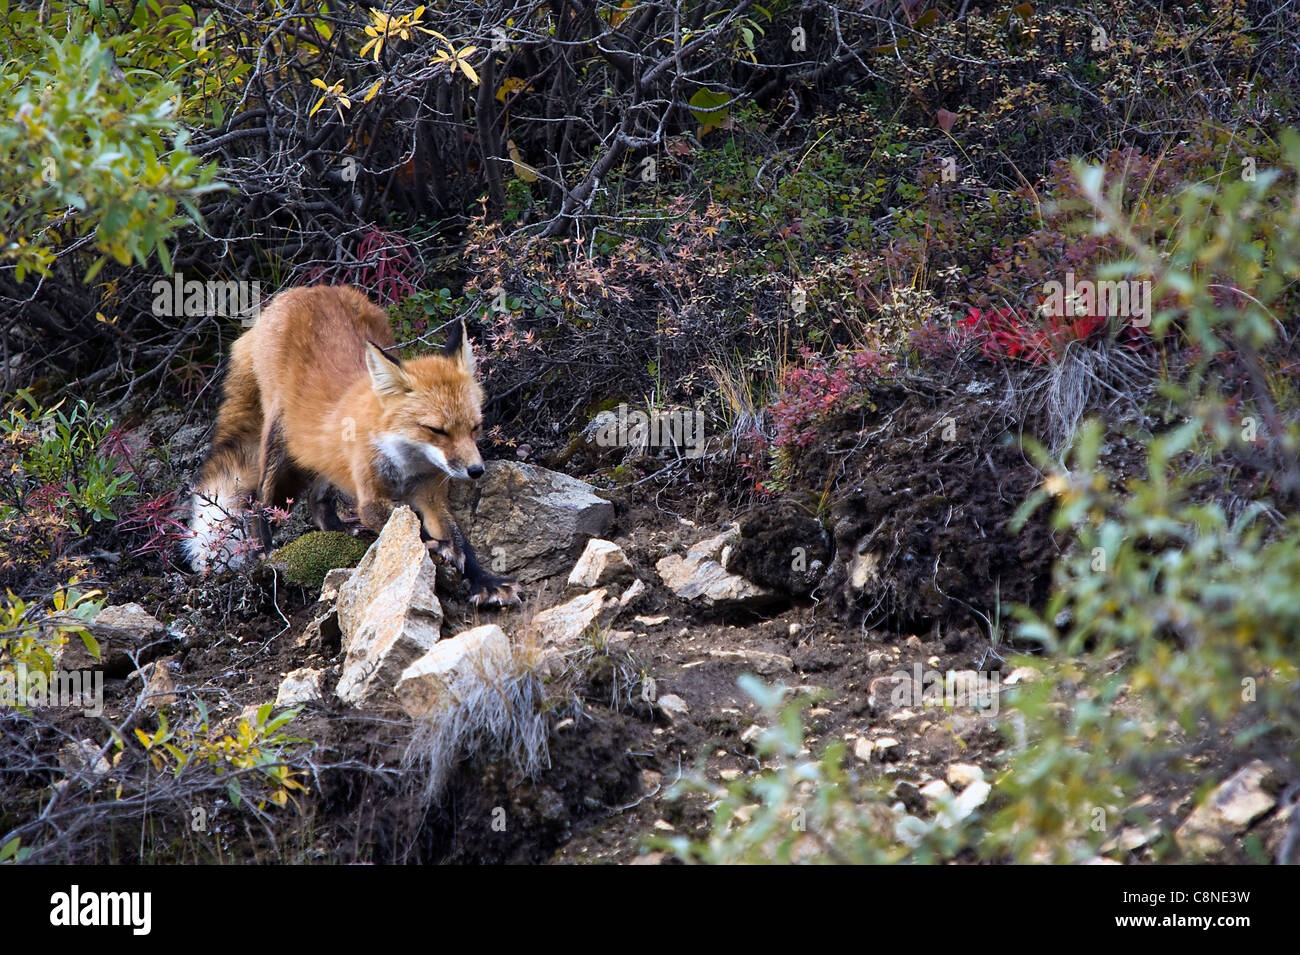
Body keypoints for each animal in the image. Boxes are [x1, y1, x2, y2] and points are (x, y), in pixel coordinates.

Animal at [183, 284, 521, 607]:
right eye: (437, 430)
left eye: (475, 427)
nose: (476, 471)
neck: (407, 464)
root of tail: (296, 293)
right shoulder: (371, 500)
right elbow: (420, 531)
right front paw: (443, 550)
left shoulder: (430, 494)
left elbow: (461, 539)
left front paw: (485, 581)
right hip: (278, 446)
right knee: (258, 506)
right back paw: (263, 554)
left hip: (323, 453)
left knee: (316, 499)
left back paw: (339, 529)